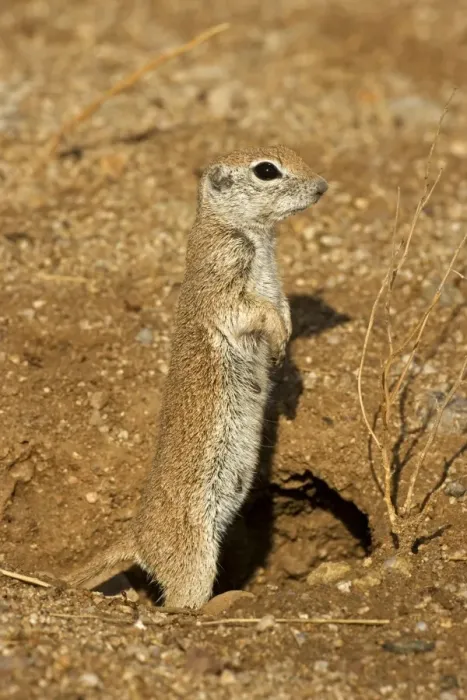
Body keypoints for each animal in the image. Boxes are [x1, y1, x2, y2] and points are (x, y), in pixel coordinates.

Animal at [64, 146, 328, 609]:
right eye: (266, 170)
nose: (322, 186)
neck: (253, 236)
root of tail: (137, 535)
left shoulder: (274, 283)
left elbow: (281, 306)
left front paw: (286, 346)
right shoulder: (223, 275)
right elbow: (254, 311)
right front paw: (278, 339)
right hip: (193, 555)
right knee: (180, 603)